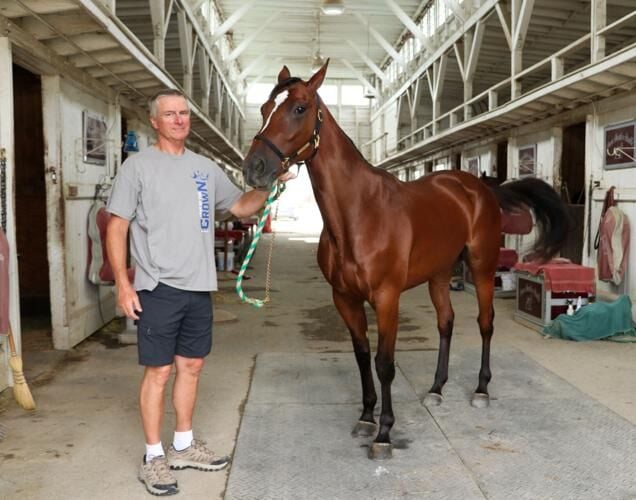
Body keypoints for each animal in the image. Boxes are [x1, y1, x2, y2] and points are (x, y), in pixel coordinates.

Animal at [242, 62, 568, 460]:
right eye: (263, 109)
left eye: (299, 108)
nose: (254, 168)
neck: (360, 213)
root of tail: (479, 188)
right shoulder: (344, 298)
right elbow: (361, 354)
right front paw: (366, 416)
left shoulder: (386, 298)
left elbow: (384, 363)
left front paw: (384, 433)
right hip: (440, 274)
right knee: (446, 322)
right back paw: (437, 389)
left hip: (482, 267)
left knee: (485, 322)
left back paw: (480, 389)